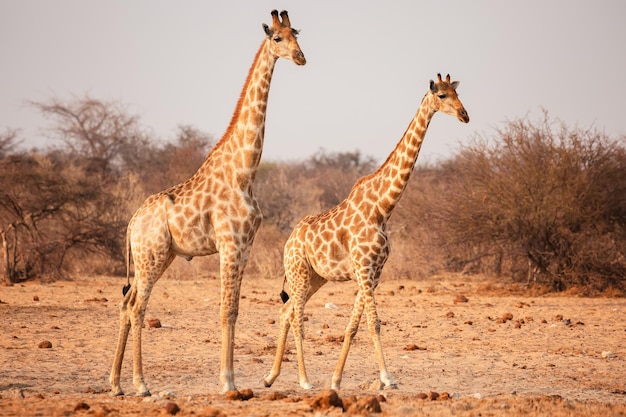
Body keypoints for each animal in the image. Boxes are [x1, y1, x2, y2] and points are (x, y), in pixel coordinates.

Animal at [111, 8, 306, 394]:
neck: (245, 170)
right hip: (151, 256)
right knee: (138, 307)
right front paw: (227, 381)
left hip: (159, 256)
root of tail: (132, 223)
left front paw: (231, 378)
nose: (301, 57)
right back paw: (141, 384)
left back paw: (115, 383)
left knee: (127, 302)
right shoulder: (229, 244)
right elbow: (224, 309)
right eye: (277, 38)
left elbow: (234, 310)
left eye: (298, 34)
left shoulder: (244, 246)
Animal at [262, 73, 468, 388]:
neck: (382, 208)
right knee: (296, 316)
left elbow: (354, 326)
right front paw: (387, 377)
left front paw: (336, 380)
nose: (464, 115)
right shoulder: (363, 269)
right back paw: (304, 380)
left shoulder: (374, 273)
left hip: (316, 277)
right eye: (442, 96)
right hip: (298, 271)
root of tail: (288, 241)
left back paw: (271, 376)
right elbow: (374, 323)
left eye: (458, 94)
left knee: (286, 312)